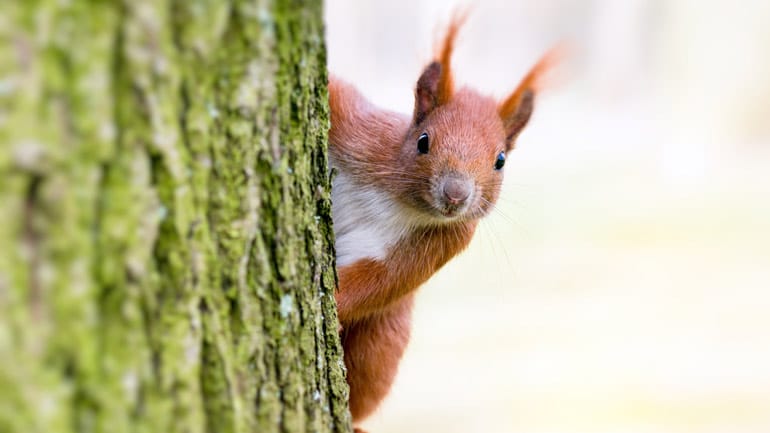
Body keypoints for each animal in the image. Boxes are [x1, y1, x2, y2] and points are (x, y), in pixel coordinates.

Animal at [328, 16, 556, 428]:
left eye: (500, 160)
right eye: (423, 141)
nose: (455, 195)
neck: (401, 199)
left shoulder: (443, 241)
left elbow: (382, 280)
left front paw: (334, 304)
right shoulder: (361, 131)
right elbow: (335, 92)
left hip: (384, 339)